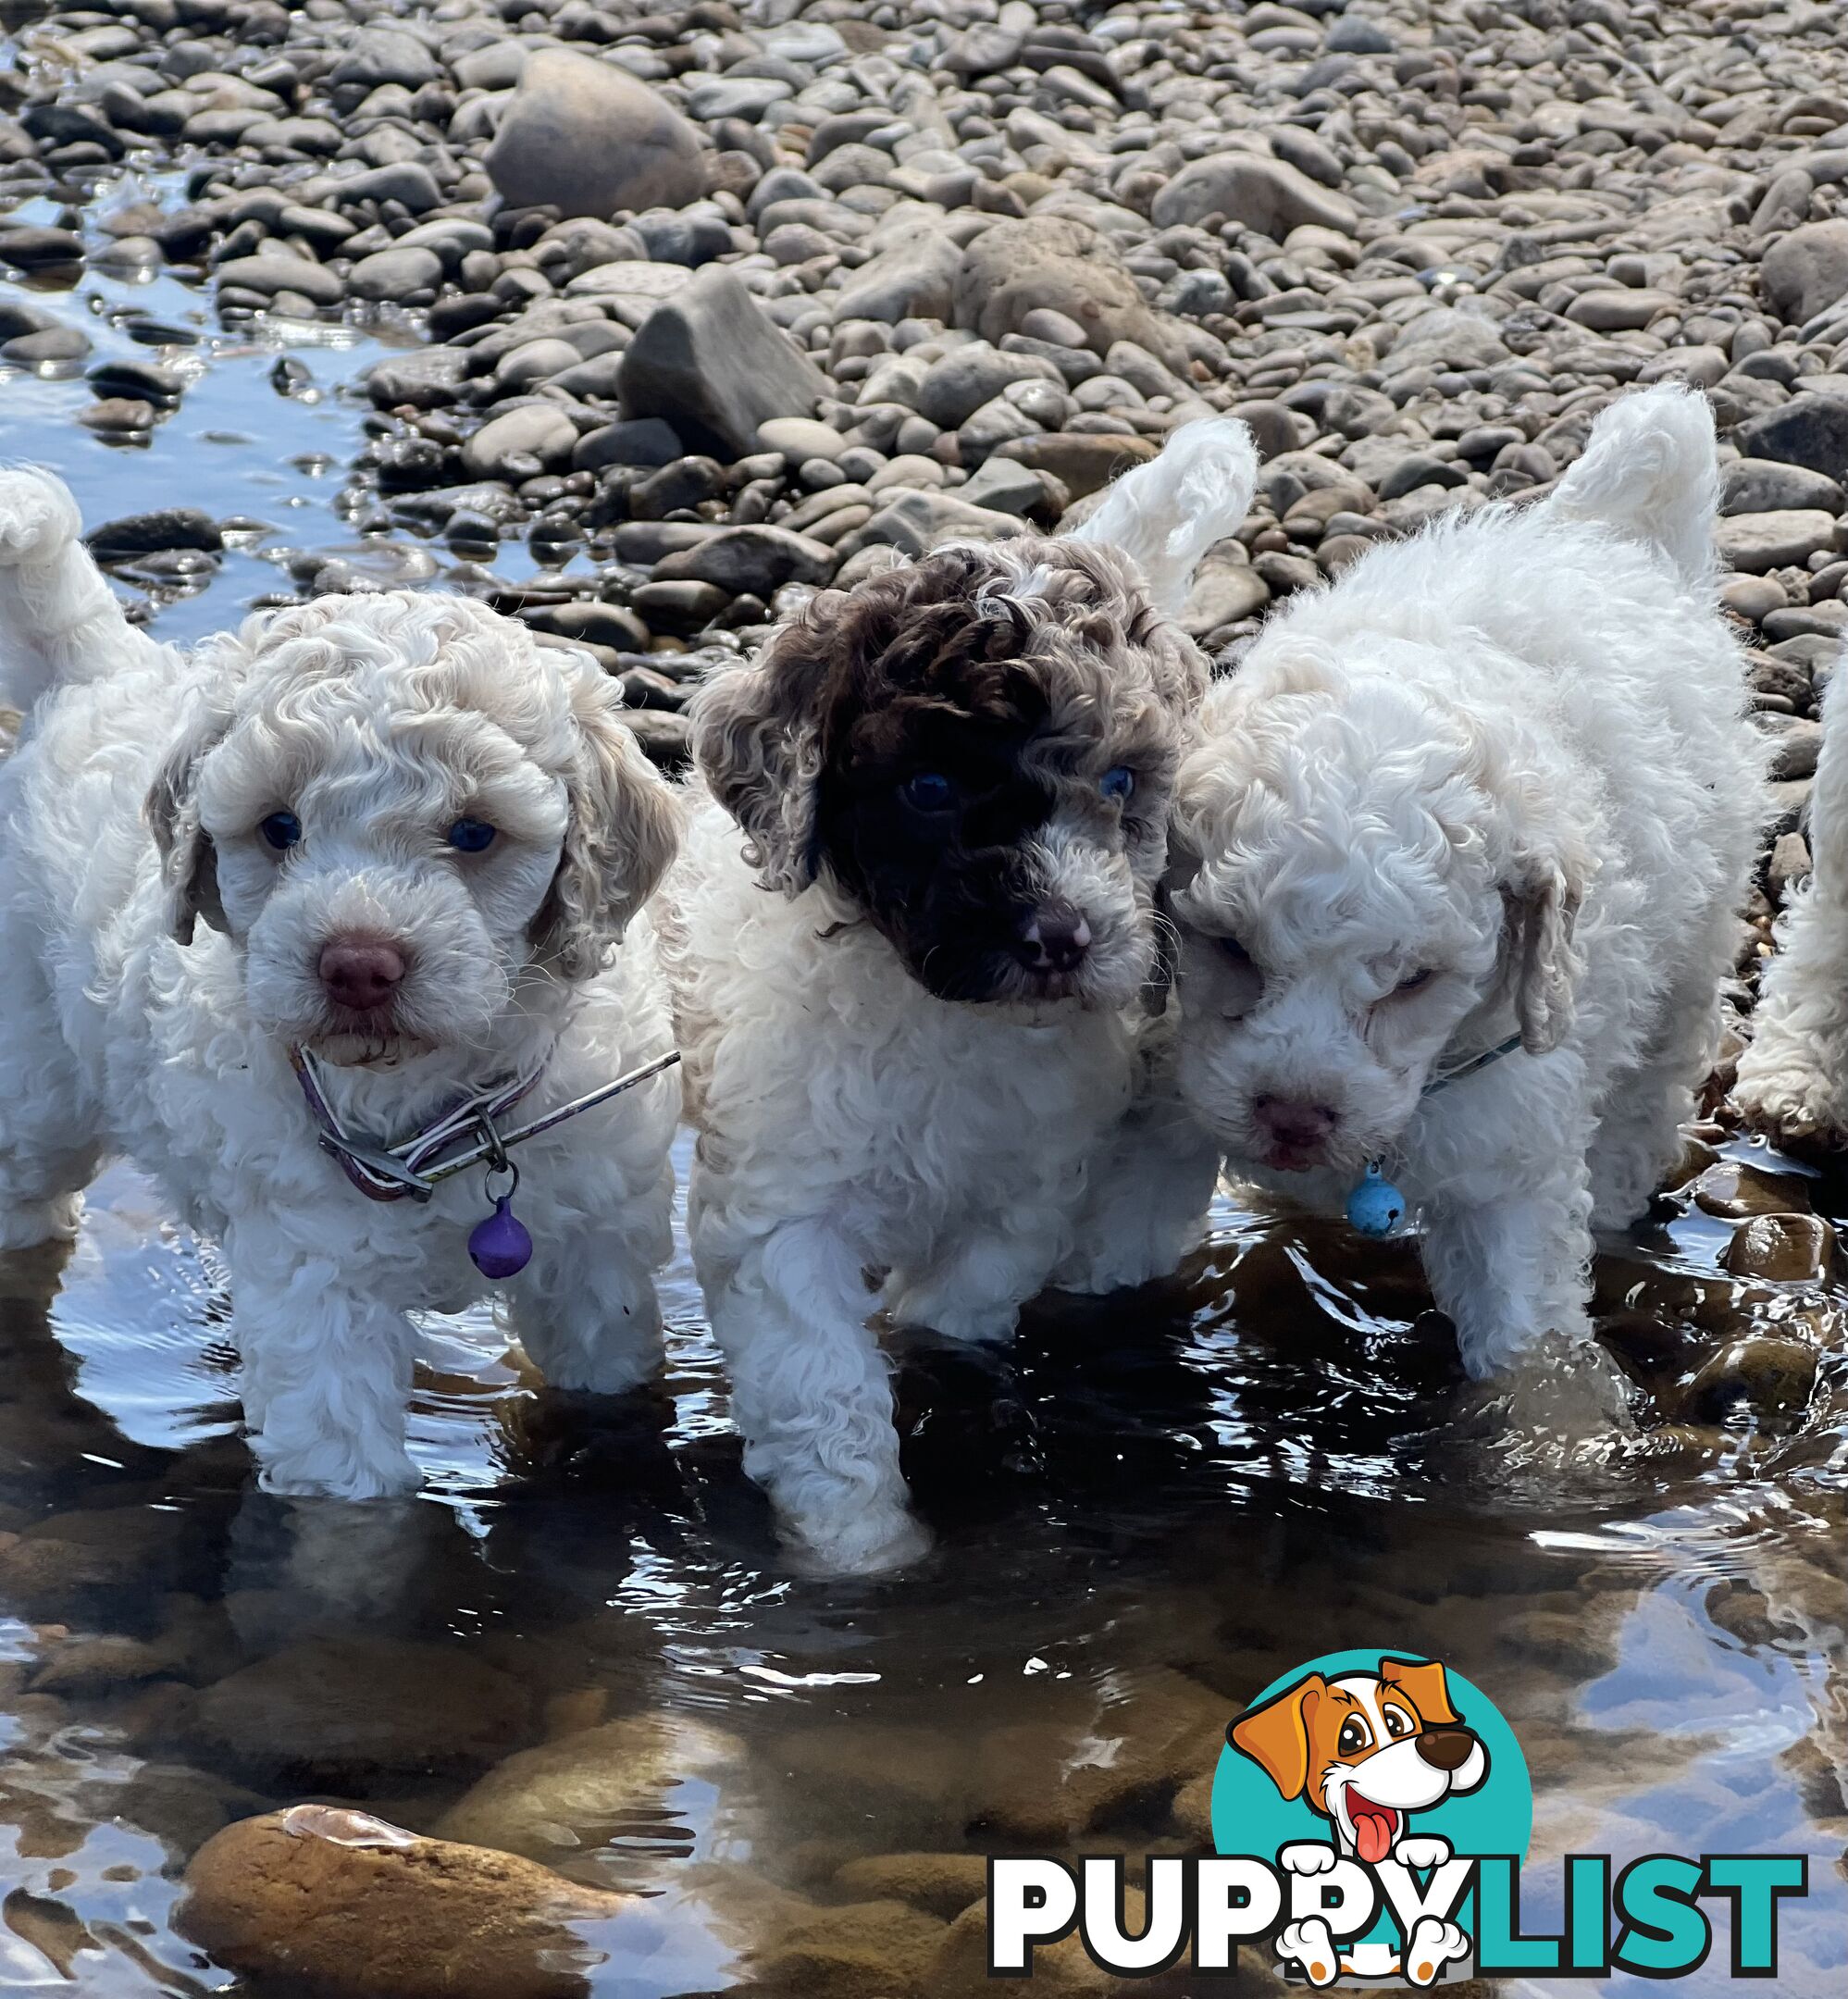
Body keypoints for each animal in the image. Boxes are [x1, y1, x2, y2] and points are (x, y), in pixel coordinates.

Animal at [0, 467, 683, 1503]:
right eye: (278, 828)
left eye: (475, 833)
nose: (357, 962)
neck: (435, 1114)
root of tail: (94, 669)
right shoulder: (318, 1291)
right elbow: (350, 1493)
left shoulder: (595, 1248)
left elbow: (605, 1368)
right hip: (33, 1079)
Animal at [651, 421, 1254, 1575]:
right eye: (927, 792)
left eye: (1119, 784)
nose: (1063, 938)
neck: (939, 1018)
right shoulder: (784, 1209)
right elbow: (821, 1384)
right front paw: (861, 1551)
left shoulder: (1023, 1191)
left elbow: (956, 1307)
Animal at [1159, 381, 1750, 1431]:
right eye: (1226, 947)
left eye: (1414, 983)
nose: (1294, 1117)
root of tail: (1597, 535)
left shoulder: (1507, 1147)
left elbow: (1524, 1335)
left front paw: (1545, 1447)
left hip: (1695, 939)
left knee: (1652, 1081)